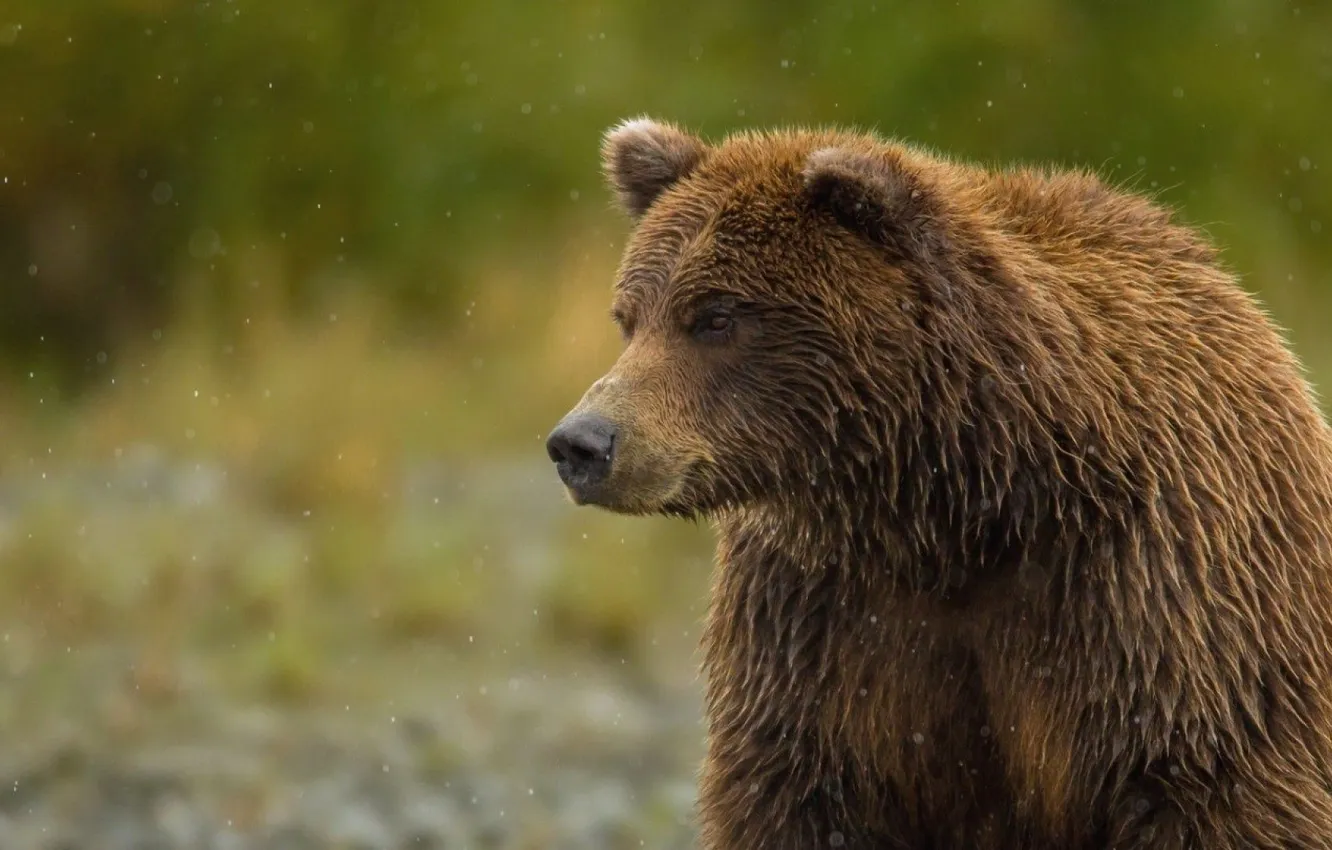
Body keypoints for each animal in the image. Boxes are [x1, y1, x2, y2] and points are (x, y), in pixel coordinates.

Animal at [544, 117, 1332, 849]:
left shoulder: (1157, 594)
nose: (583, 442)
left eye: (714, 316)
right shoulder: (818, 617)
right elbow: (796, 787)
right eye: (629, 318)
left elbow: (1210, 785)